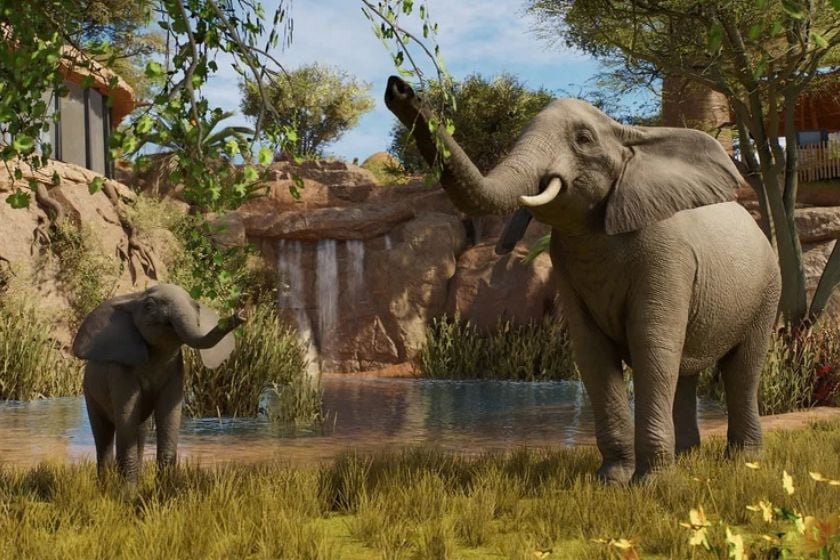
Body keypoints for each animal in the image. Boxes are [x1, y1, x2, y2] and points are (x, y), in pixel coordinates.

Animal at [71, 283, 246, 483]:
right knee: (103, 434)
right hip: (89, 391)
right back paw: (105, 485)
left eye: (197, 307)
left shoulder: (176, 370)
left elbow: (169, 415)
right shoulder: (121, 372)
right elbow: (126, 418)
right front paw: (128, 491)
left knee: (140, 430)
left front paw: (165, 488)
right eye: (149, 306)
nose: (240, 314)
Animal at [384, 76, 781, 483]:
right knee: (685, 373)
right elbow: (592, 353)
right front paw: (611, 481)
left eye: (583, 139)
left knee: (741, 370)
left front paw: (651, 484)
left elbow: (652, 345)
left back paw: (742, 461)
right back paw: (687, 456)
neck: (630, 138)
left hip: (768, 287)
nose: (399, 87)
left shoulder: (668, 256)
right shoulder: (566, 263)